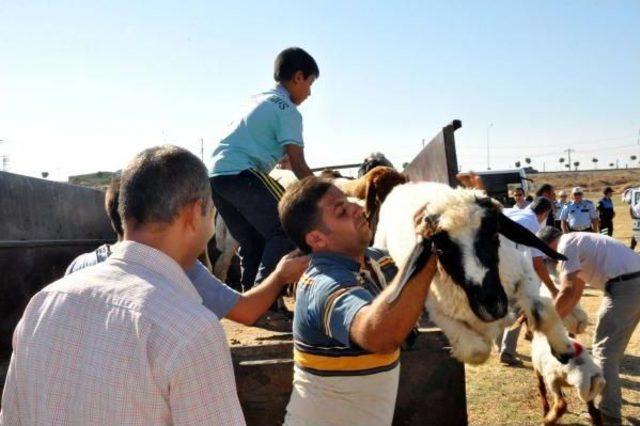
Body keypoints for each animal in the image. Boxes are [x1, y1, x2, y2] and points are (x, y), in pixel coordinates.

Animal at [372, 181, 576, 364]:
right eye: (440, 249)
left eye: (494, 235)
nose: (492, 306)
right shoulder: (438, 311)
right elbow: (476, 350)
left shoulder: (524, 273)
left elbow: (541, 312)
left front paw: (562, 349)